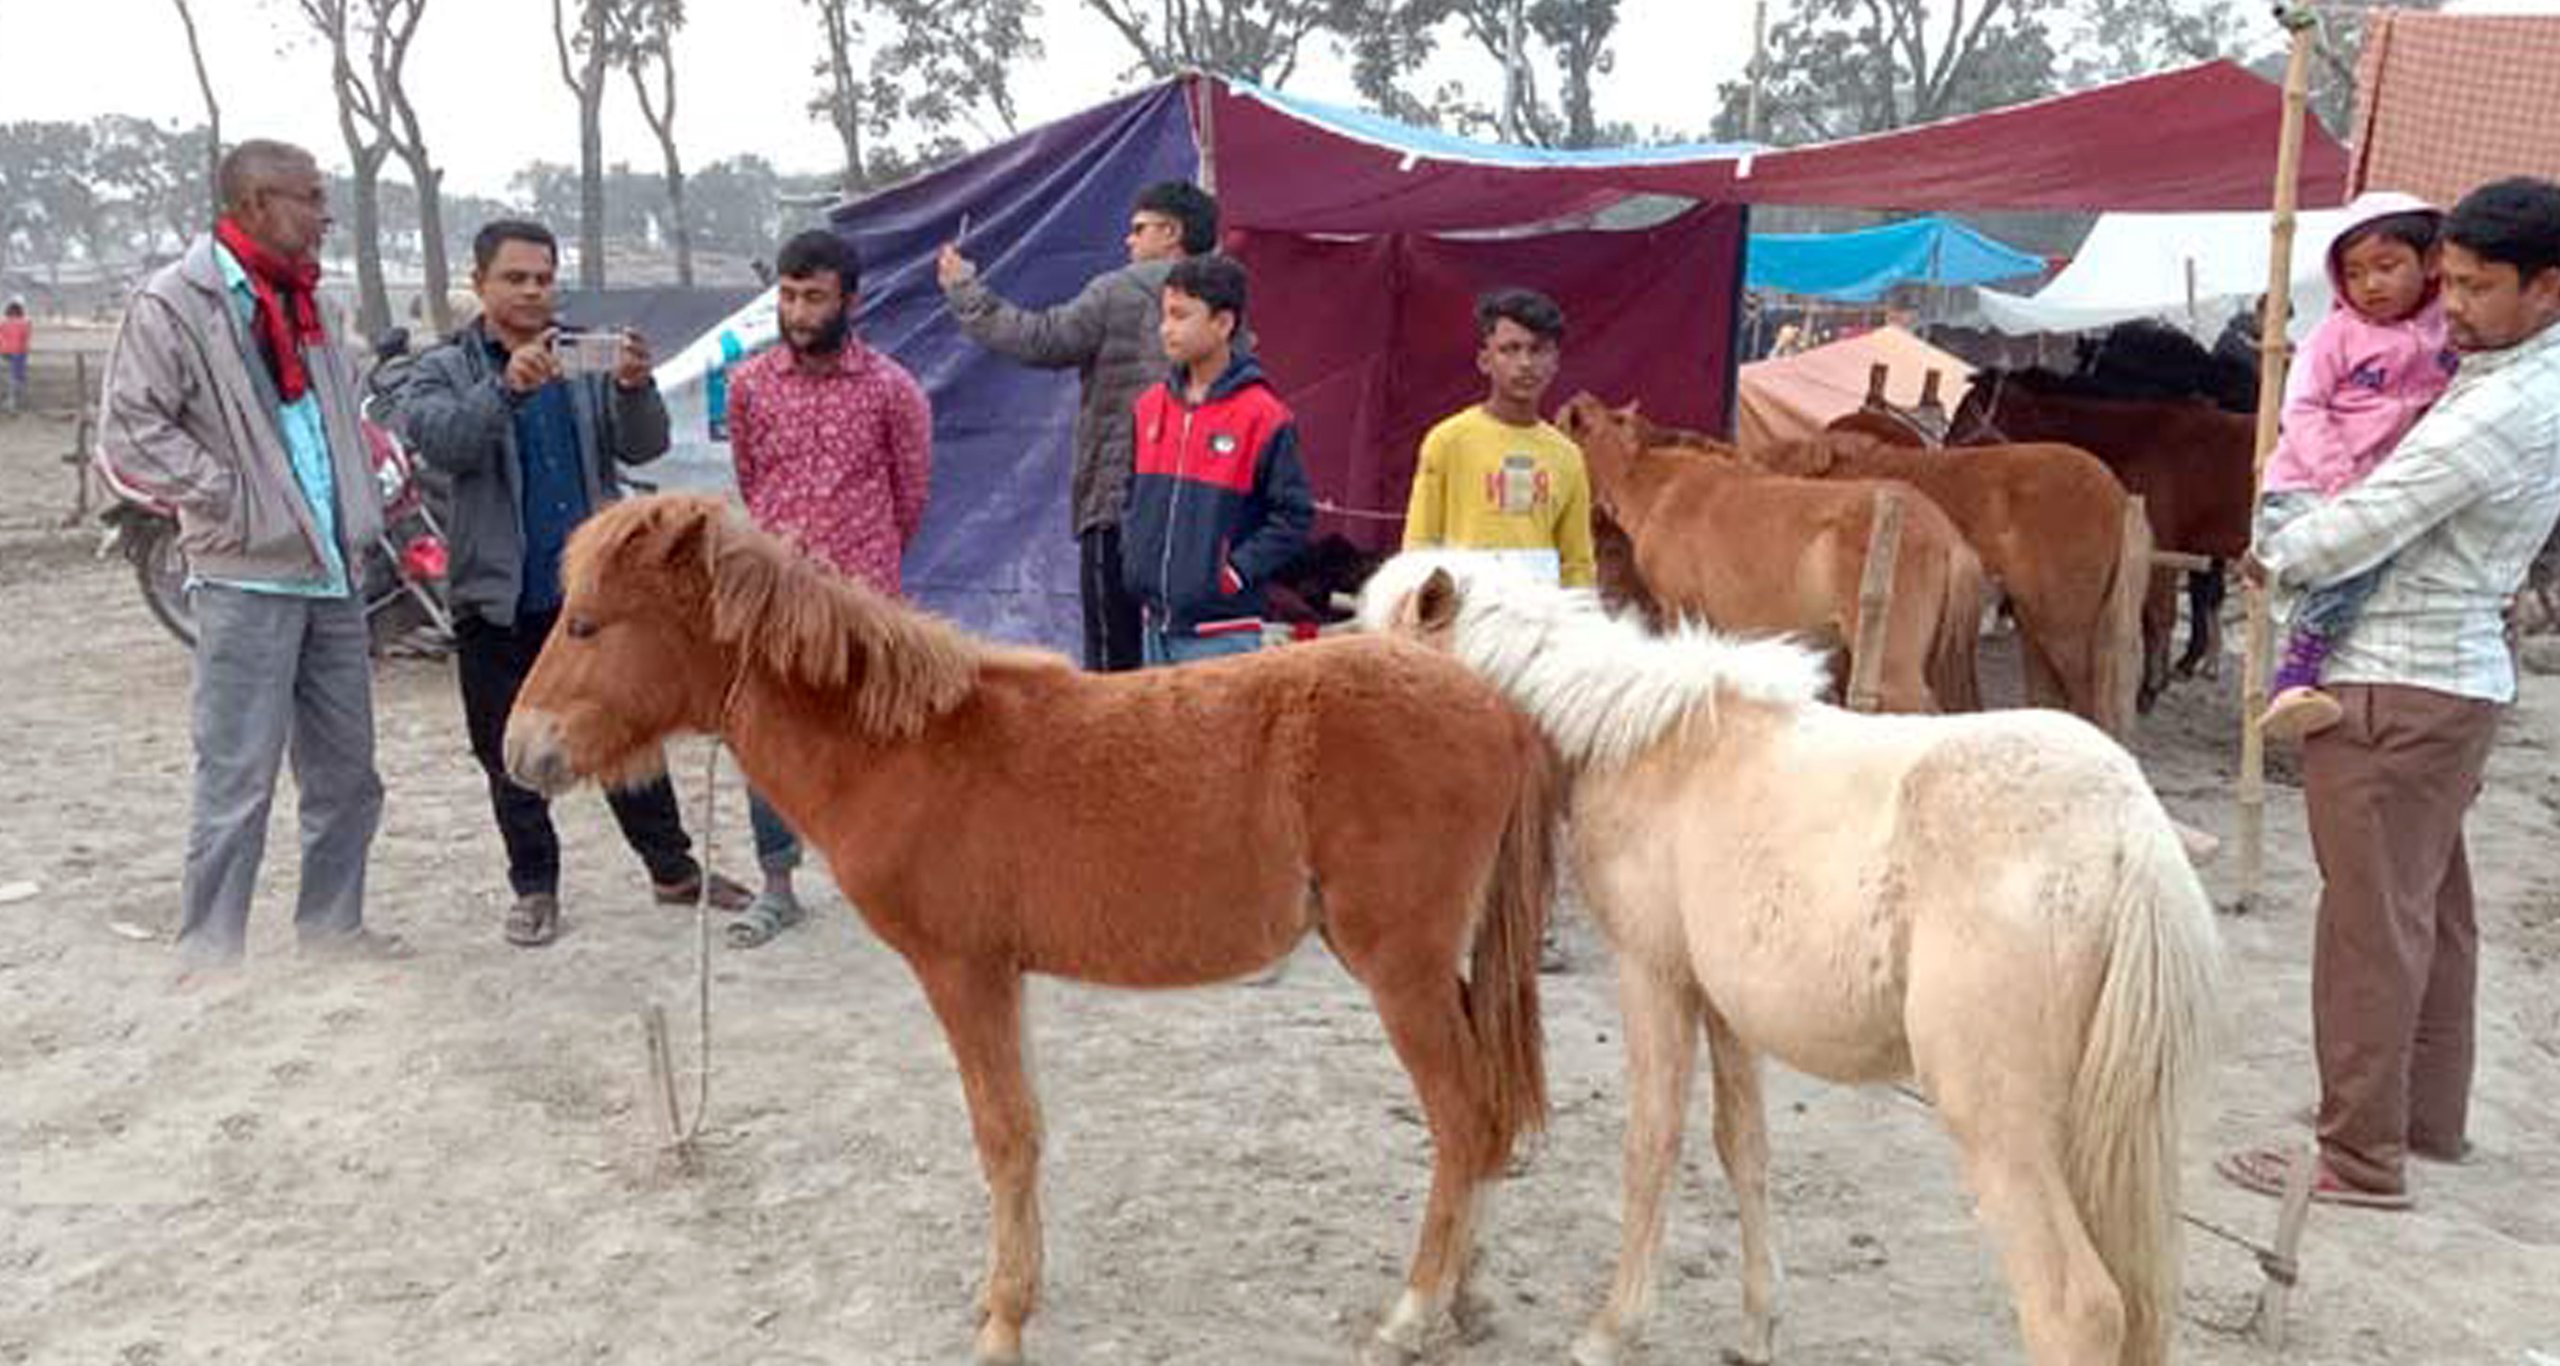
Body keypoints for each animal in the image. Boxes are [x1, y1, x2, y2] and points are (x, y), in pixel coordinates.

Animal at [488, 498, 1546, 1360]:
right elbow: (1023, 1127)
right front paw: (1007, 1293)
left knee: (1461, 1117)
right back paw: (1467, 1297)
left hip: (1399, 965)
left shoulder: (963, 970)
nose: (519, 751)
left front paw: (1003, 1319)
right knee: (1491, 1111)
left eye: (585, 623)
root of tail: (1494, 707)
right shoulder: (1003, 974)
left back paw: (1412, 1313)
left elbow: (1003, 1134)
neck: (906, 750)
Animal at [1361, 555, 2222, 1366]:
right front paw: (1756, 1328)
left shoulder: (1653, 977)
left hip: (1999, 1123)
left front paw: (1612, 1330)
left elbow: (1652, 1144)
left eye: (1386, 653)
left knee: (2076, 1308)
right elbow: (1742, 1149)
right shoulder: (1725, 1007)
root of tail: (2128, 834)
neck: (1642, 739)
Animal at [1945, 368, 2252, 706]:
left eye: (1965, 412)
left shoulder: (2162, 548)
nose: (1943, 447)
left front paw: (2149, 688)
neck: (2146, 439)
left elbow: (2158, 616)